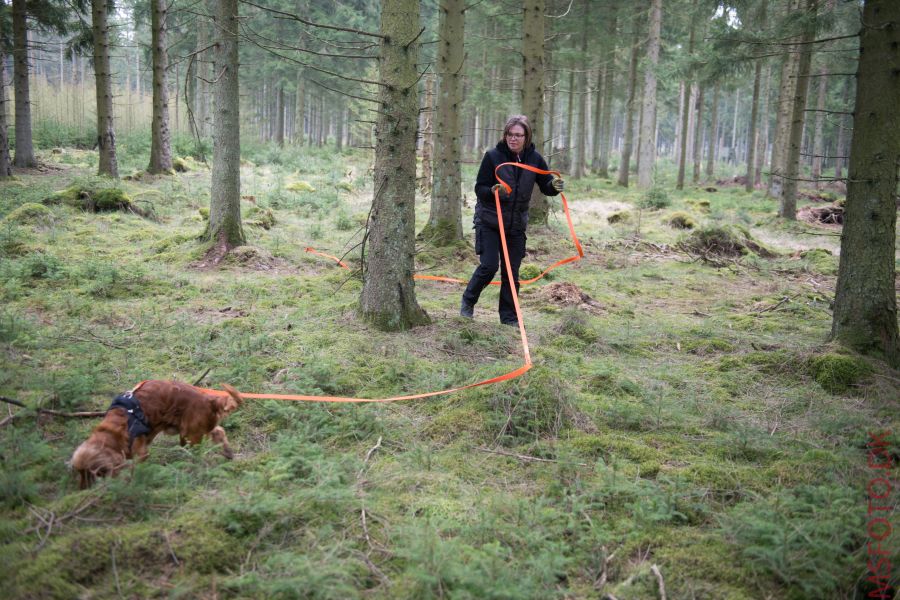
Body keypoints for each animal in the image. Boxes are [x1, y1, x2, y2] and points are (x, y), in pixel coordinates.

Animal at [71, 380, 243, 488]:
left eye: (92, 473)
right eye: (79, 473)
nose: (82, 490)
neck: (114, 432)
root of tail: (209, 400)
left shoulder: (141, 453)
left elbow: (132, 469)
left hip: (189, 436)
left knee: (198, 455)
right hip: (193, 430)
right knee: (219, 432)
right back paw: (228, 453)